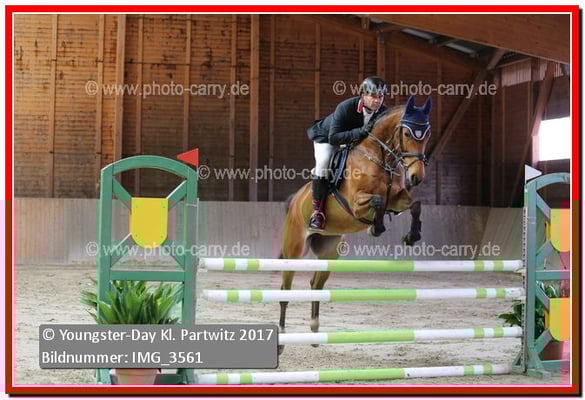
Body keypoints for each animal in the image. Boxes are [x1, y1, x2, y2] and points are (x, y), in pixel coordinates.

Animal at [278, 95, 432, 354]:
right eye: (407, 133)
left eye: (427, 134)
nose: (416, 177)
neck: (380, 157)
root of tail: (294, 201)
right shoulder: (356, 204)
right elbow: (378, 202)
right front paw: (376, 227)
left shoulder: (397, 198)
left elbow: (415, 204)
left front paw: (411, 236)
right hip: (294, 249)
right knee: (284, 291)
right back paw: (281, 339)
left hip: (330, 252)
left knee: (315, 284)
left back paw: (315, 331)